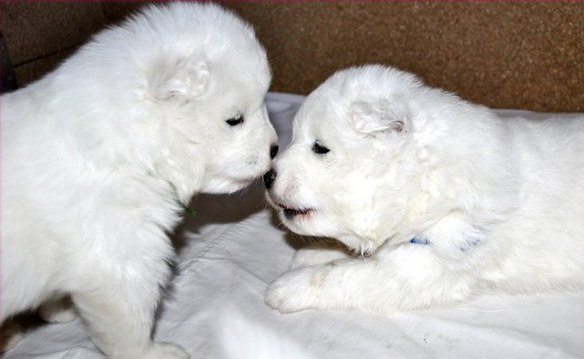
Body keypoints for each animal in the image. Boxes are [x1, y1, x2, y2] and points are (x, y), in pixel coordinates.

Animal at [1, 3, 276, 359]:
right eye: (234, 120)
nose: (275, 148)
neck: (128, 148)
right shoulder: (122, 258)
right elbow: (129, 322)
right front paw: (151, 352)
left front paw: (58, 308)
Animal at [264, 64, 584, 316]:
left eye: (320, 148)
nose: (267, 176)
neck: (421, 178)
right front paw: (315, 252)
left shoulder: (421, 267)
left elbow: (344, 276)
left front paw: (287, 286)